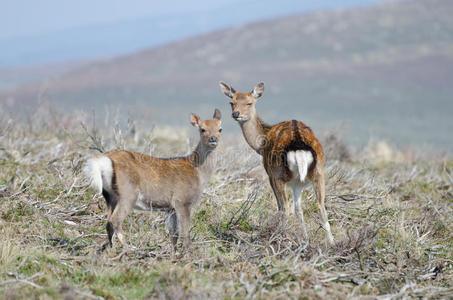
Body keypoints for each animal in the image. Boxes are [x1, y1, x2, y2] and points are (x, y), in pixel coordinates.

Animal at [85, 109, 222, 252]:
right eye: (202, 129)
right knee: (115, 221)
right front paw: (189, 253)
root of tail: (103, 160)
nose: (213, 139)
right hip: (128, 193)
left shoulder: (170, 208)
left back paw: (110, 250)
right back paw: (130, 249)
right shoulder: (182, 201)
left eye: (220, 129)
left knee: (108, 222)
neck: (197, 172)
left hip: (110, 196)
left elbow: (174, 234)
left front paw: (175, 254)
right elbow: (185, 234)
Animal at [221, 81, 334, 244]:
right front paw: (305, 238)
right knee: (321, 207)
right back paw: (332, 243)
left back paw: (277, 238)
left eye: (249, 102)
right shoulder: (297, 184)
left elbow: (284, 207)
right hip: (319, 173)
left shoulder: (270, 175)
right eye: (232, 102)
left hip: (278, 175)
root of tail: (298, 144)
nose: (236, 114)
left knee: (284, 208)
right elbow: (299, 210)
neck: (261, 144)